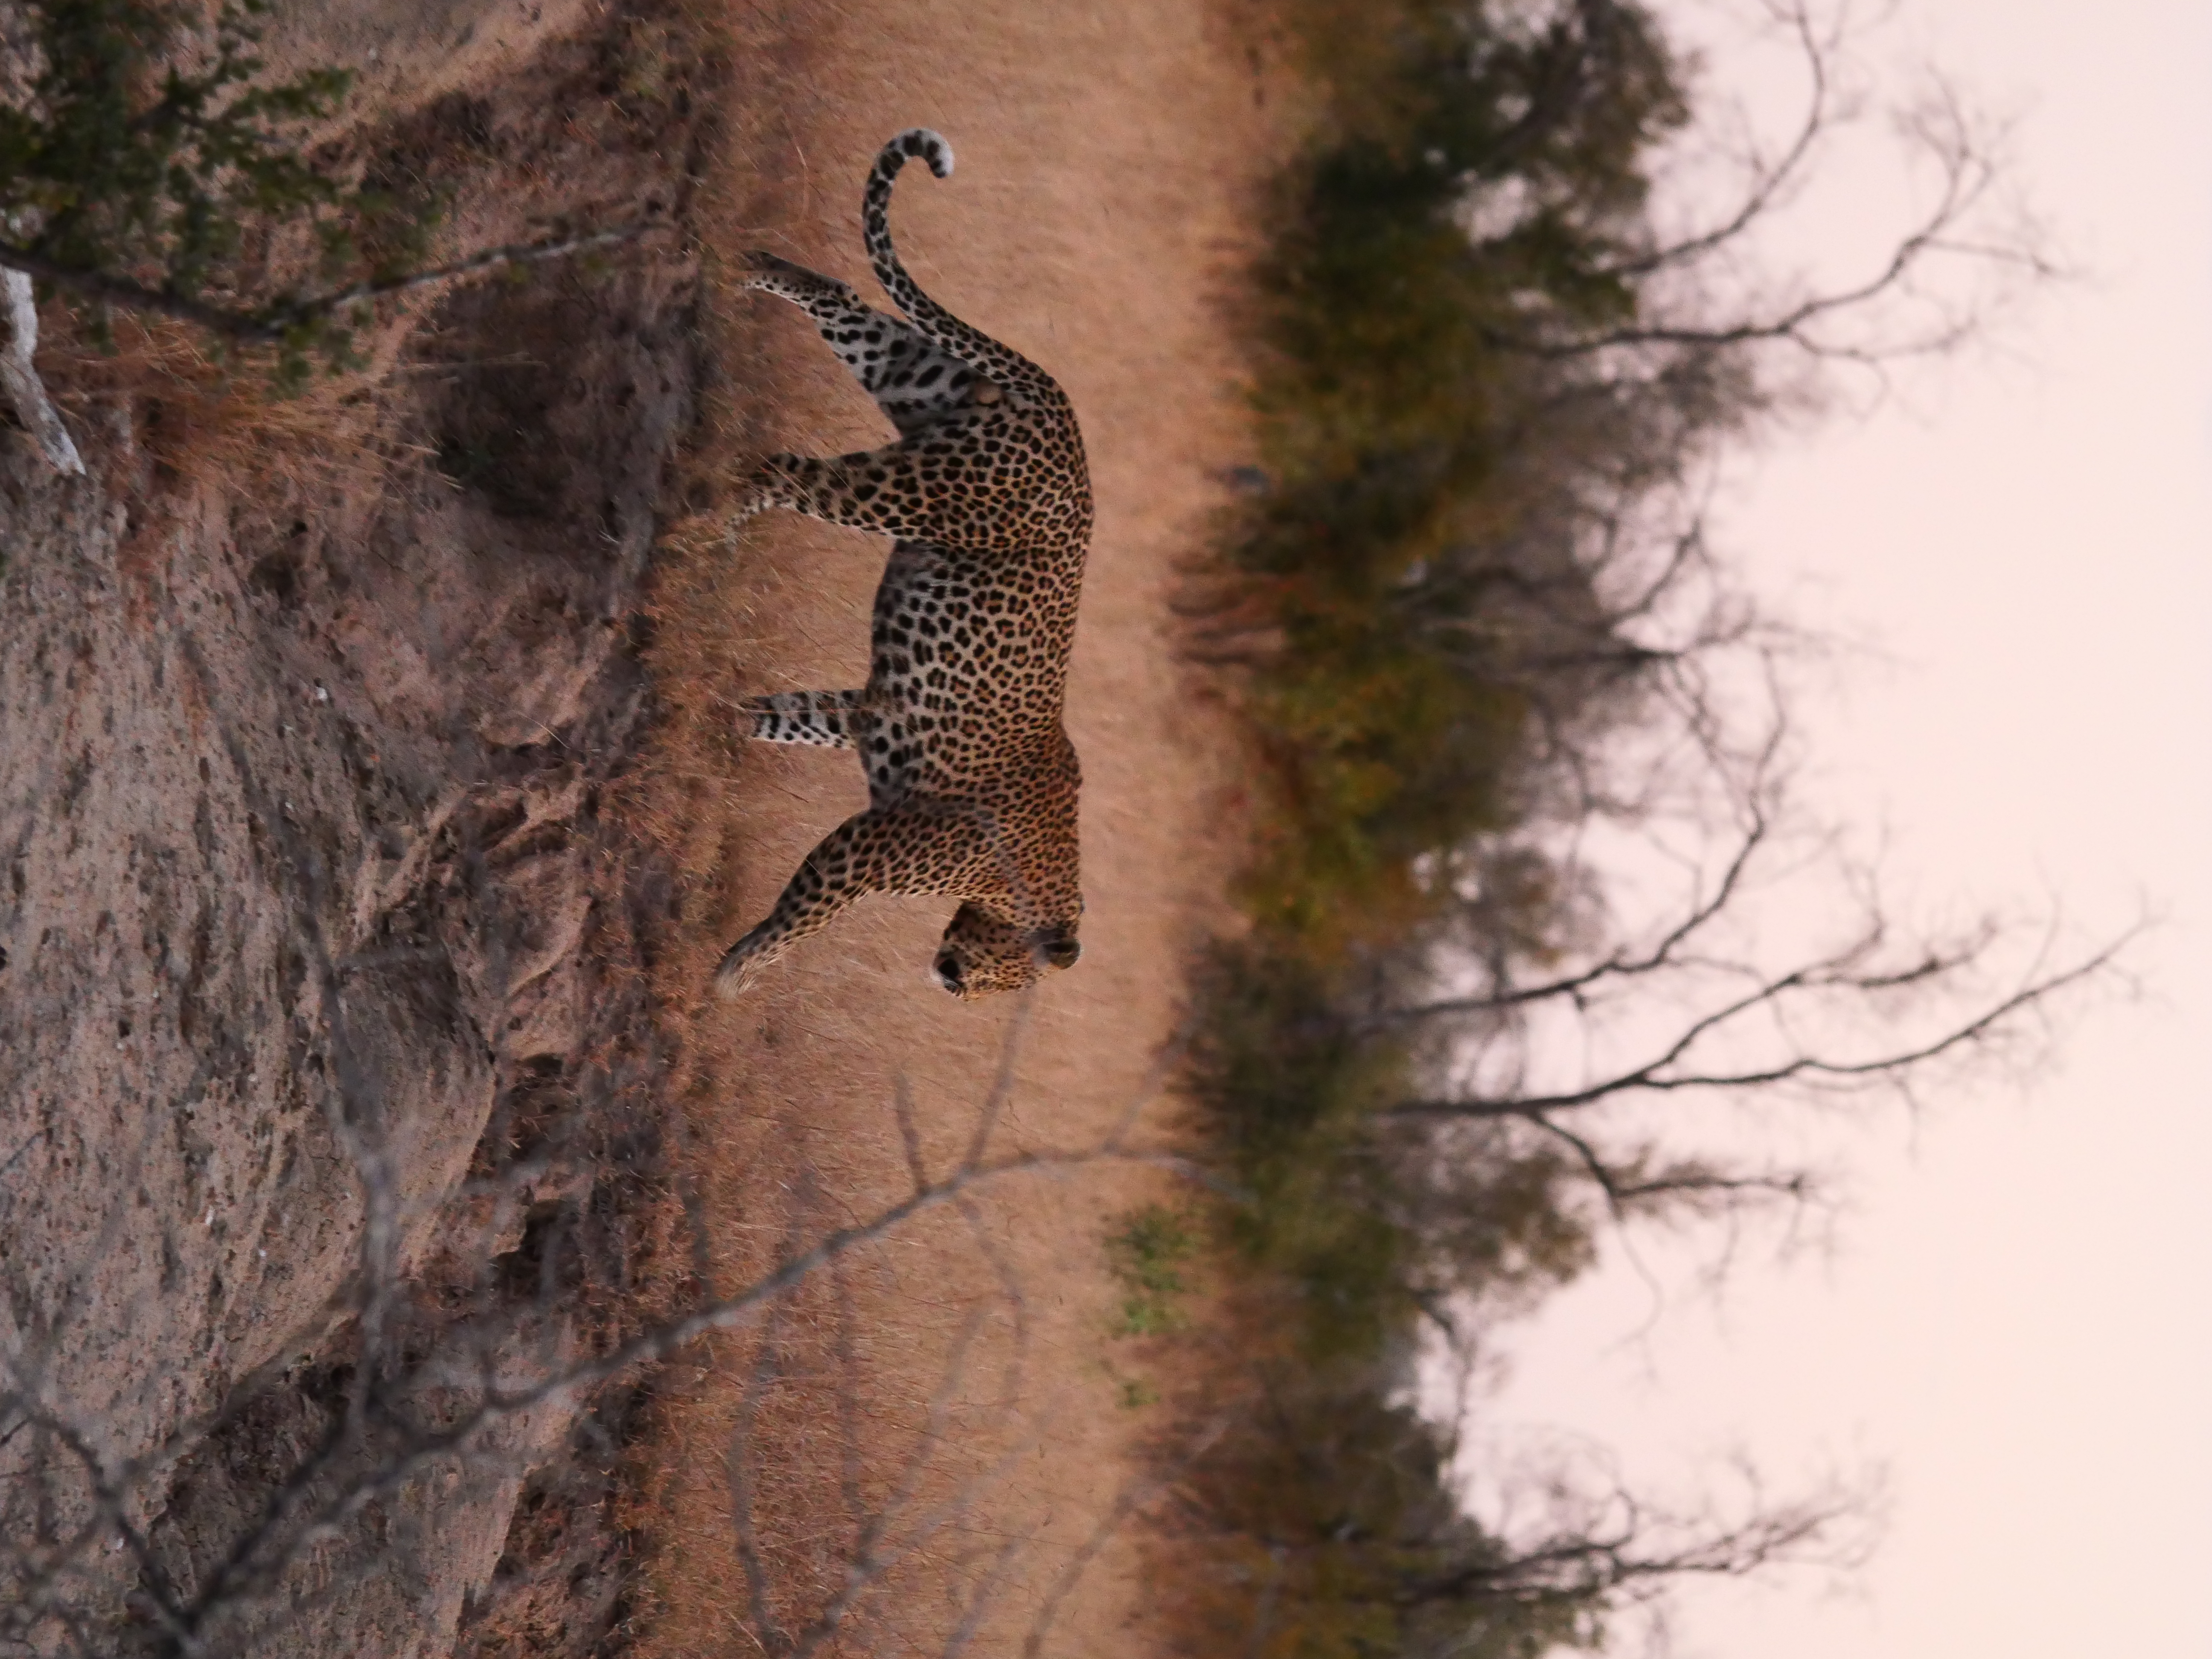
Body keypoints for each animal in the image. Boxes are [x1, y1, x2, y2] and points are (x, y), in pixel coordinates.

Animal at [712, 128, 1094, 1002]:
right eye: (1005, 982)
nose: (951, 983)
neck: (1034, 882)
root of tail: (1060, 407)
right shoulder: (874, 847)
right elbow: (803, 919)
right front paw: (735, 977)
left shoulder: (867, 711)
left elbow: (784, 714)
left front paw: (715, 724)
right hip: (913, 492)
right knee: (782, 473)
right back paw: (710, 526)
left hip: (914, 376)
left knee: (838, 295)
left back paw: (737, 264)